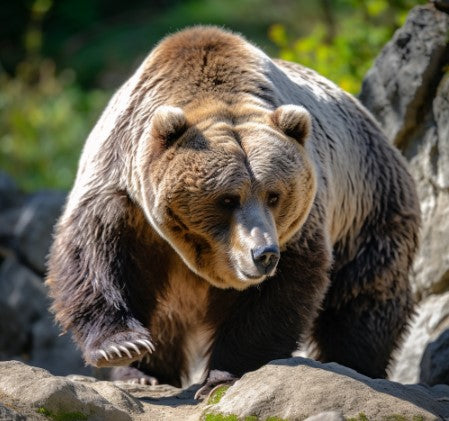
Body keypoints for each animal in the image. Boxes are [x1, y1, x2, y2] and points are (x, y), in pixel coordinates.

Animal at [45, 26, 420, 392]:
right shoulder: (122, 188)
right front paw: (122, 346)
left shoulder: (301, 227)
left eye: (274, 195)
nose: (263, 253)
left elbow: (276, 296)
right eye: (227, 198)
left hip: (368, 211)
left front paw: (223, 376)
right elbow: (94, 255)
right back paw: (144, 374)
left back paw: (355, 363)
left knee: (363, 296)